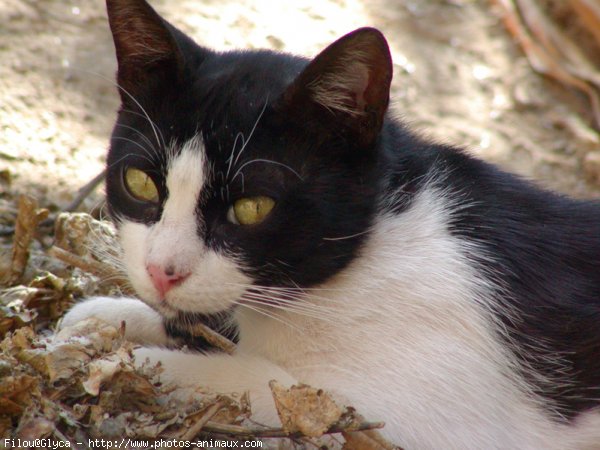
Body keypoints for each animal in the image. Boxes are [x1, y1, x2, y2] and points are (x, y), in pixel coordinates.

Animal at [59, 0, 600, 450]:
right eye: (141, 183)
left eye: (253, 208)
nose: (161, 271)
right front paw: (103, 319)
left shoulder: (418, 417)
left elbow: (260, 381)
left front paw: (119, 362)